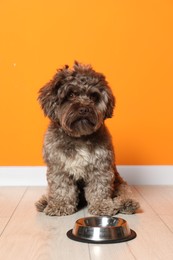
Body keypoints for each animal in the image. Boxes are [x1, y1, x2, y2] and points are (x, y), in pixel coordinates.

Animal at [35, 62, 140, 216]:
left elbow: (99, 189)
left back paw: (127, 203)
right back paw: (45, 202)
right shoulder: (58, 167)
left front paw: (102, 206)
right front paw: (60, 205)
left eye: (93, 96)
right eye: (71, 94)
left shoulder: (100, 166)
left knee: (124, 192)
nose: (84, 109)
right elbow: (61, 188)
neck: (79, 137)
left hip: (119, 183)